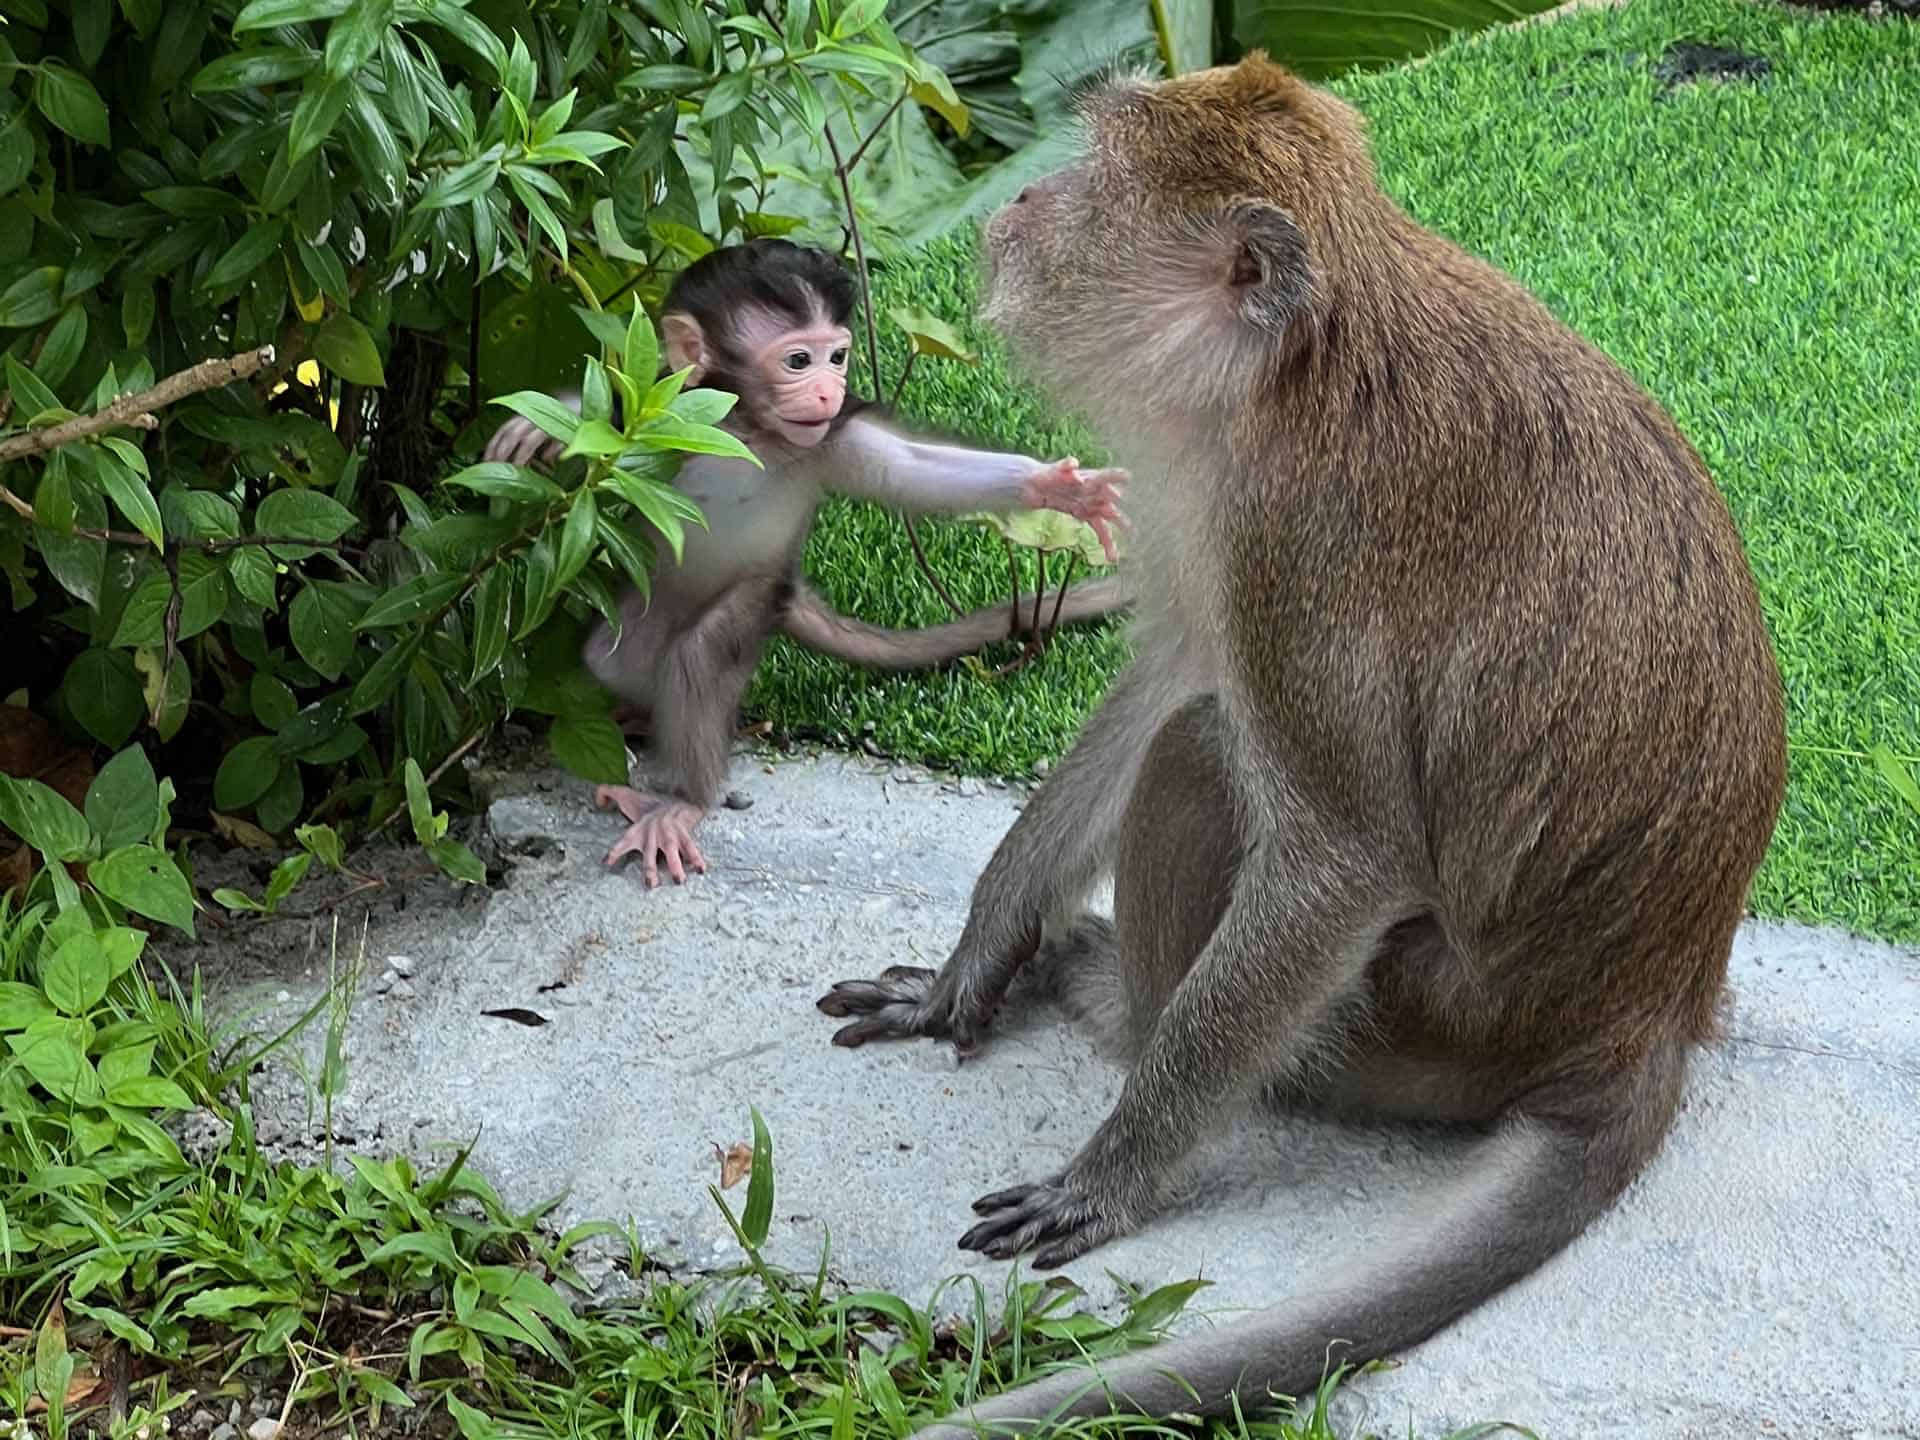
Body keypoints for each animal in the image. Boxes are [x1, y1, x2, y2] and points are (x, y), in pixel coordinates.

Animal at [487, 242, 1128, 887]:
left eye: (838, 357)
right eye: (798, 360)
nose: (828, 391)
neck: (746, 430)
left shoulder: (832, 441)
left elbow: (911, 469)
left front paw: (1057, 488)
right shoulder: (673, 414)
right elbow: (618, 414)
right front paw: (546, 422)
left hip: (763, 593)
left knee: (703, 649)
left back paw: (685, 801)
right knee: (610, 658)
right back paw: (633, 715)